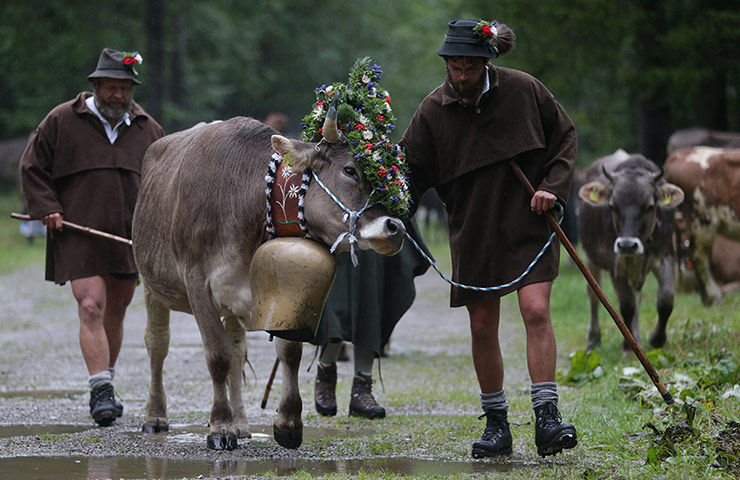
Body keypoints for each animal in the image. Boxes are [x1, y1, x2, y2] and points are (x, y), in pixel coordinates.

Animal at [131, 112, 406, 451]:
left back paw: (241, 424)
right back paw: (155, 417)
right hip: (152, 284)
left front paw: (287, 422)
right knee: (158, 344)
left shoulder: (284, 290)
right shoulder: (197, 282)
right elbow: (217, 356)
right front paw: (219, 427)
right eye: (350, 170)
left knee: (237, 349)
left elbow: (287, 354)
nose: (395, 228)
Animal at [577, 150, 684, 353]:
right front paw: (628, 347)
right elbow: (627, 305)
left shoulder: (666, 256)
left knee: (637, 297)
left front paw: (657, 339)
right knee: (593, 296)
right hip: (591, 259)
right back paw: (594, 339)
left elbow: (666, 301)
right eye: (612, 206)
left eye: (649, 206)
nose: (627, 245)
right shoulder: (615, 263)